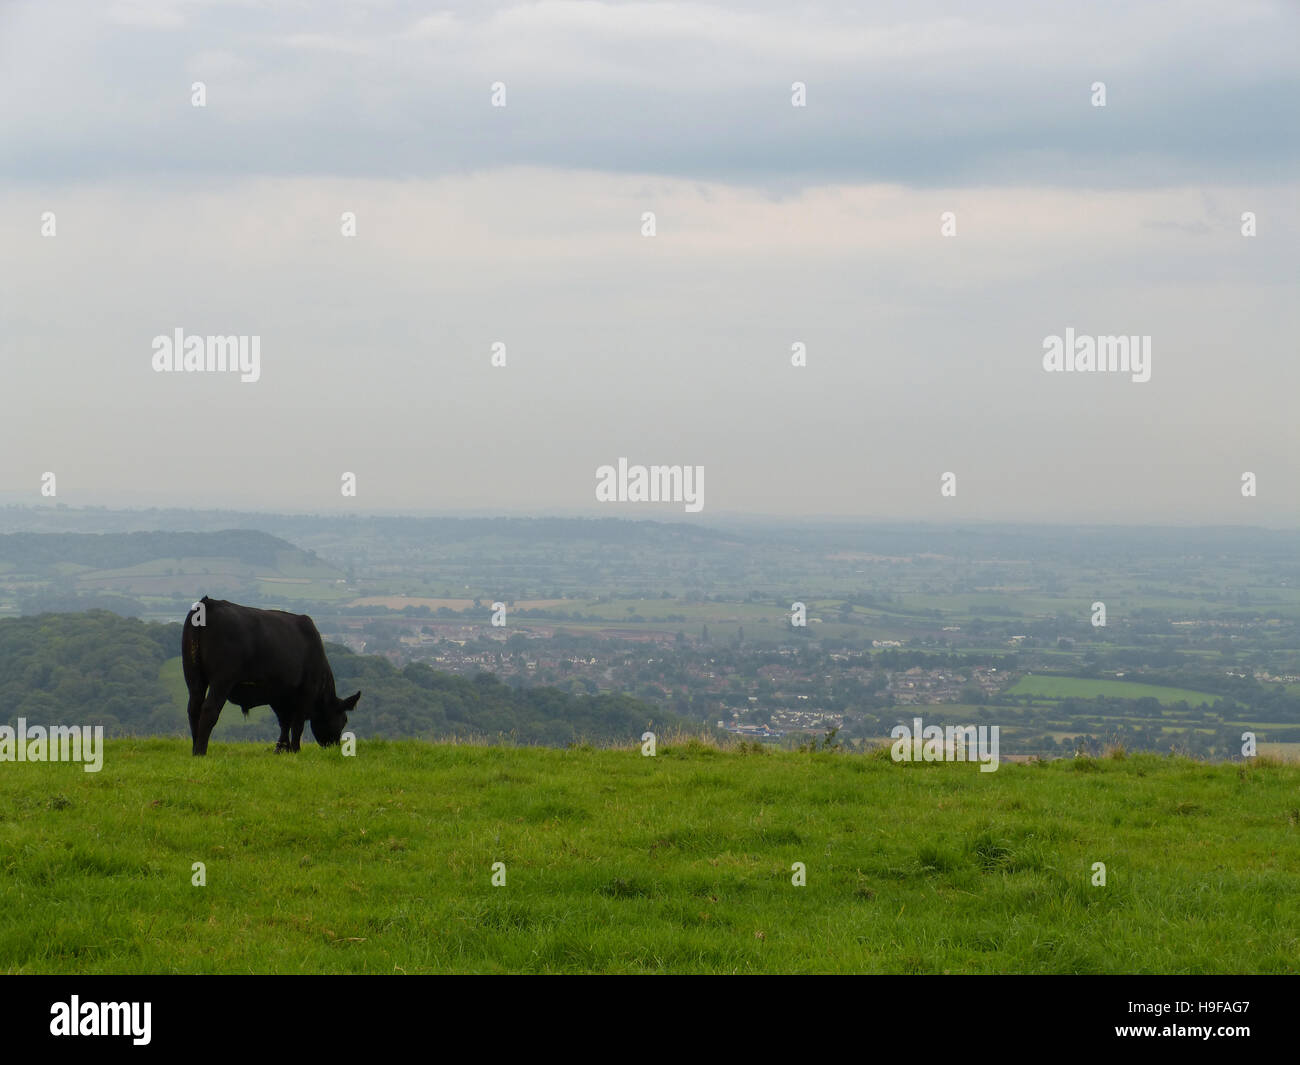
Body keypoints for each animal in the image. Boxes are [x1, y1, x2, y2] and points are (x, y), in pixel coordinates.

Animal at [182, 596, 360, 756]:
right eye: (344, 720)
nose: (334, 746)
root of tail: (209, 602)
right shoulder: (306, 691)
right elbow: (297, 724)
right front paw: (295, 750)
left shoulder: (278, 694)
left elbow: (284, 722)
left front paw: (281, 749)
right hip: (222, 680)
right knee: (209, 709)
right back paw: (200, 751)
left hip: (194, 677)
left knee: (194, 709)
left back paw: (194, 748)